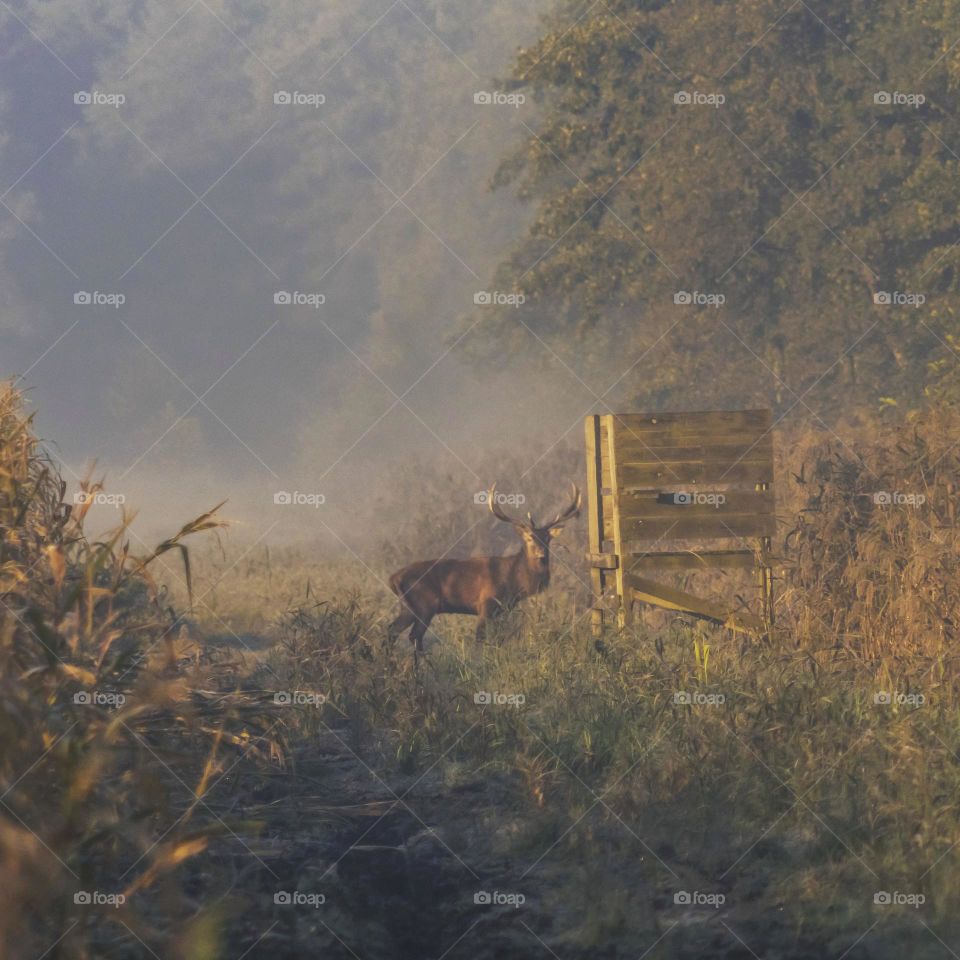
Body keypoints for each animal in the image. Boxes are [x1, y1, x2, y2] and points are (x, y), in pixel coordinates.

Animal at [387, 482, 581, 651]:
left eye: (547, 538)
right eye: (529, 538)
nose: (541, 554)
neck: (514, 581)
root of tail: (393, 578)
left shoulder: (503, 609)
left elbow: (498, 639)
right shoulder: (485, 603)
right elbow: (480, 639)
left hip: (409, 607)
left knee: (393, 631)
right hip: (424, 605)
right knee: (413, 636)